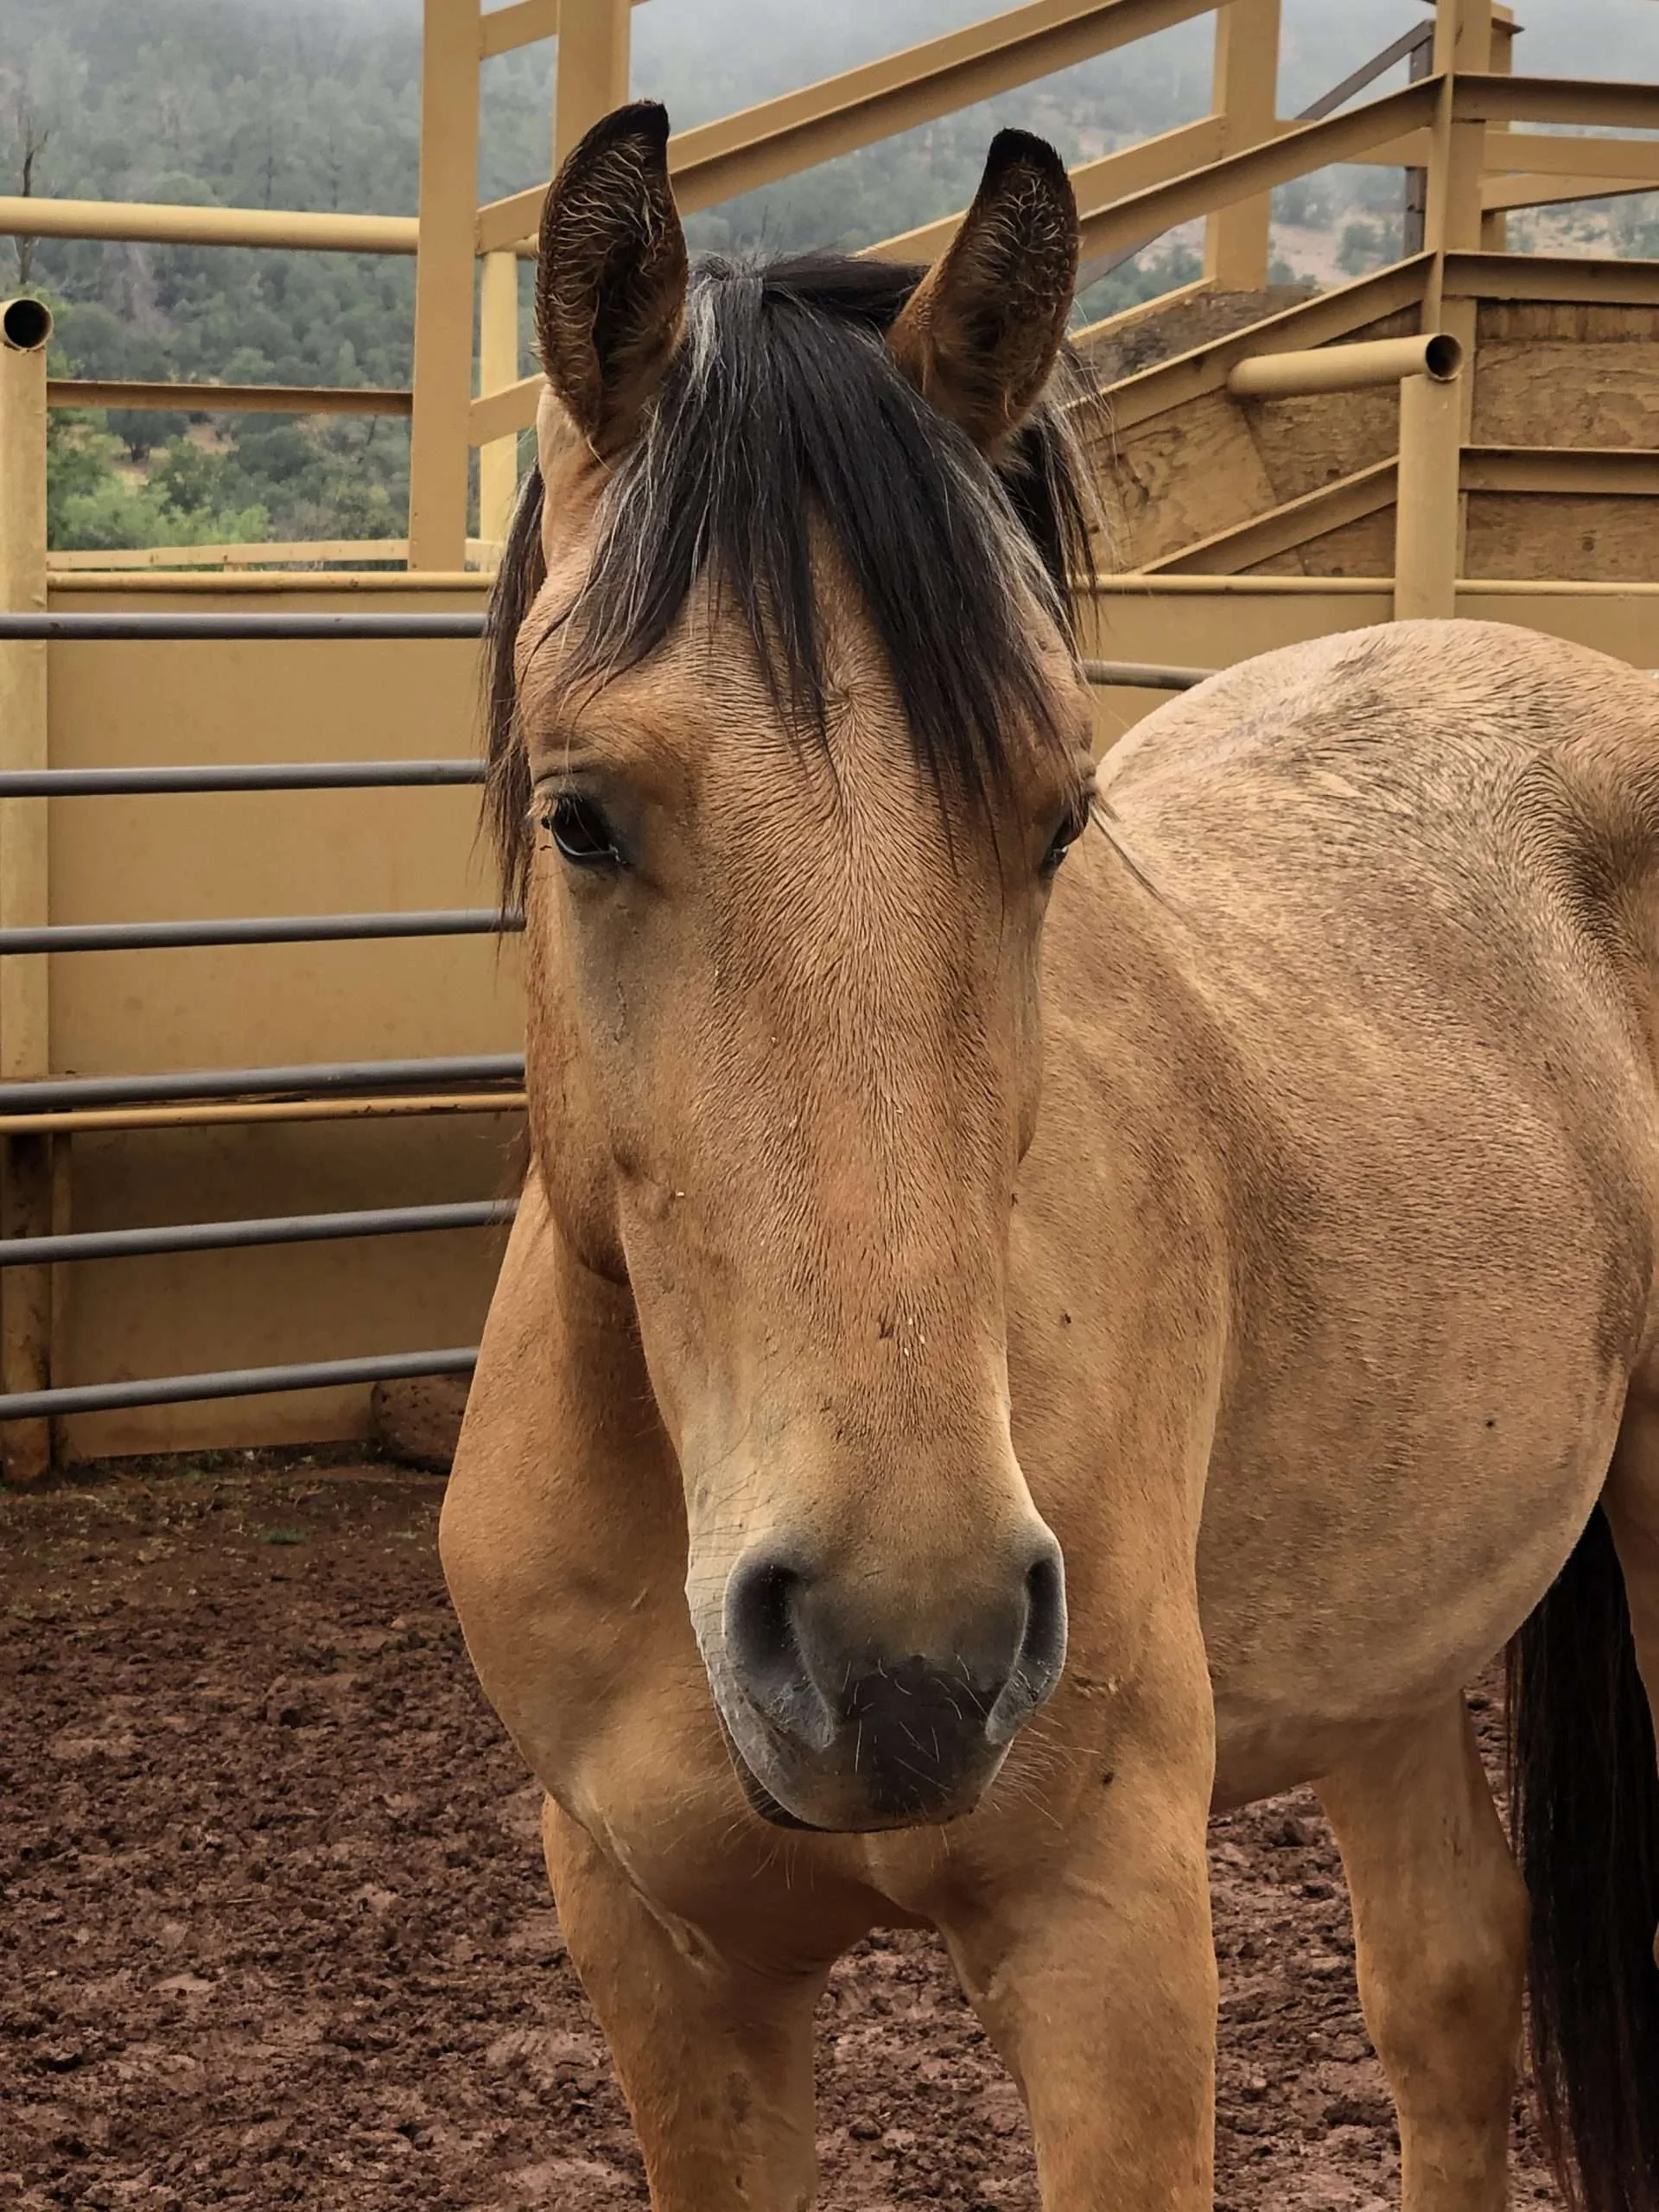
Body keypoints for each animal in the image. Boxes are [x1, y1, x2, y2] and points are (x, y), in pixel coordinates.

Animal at [438, 101, 1659, 2211]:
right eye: (583, 817)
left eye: (1057, 818)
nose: (902, 1654)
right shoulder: (663, 1963)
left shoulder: (1112, 1948)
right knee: (1449, 1982)